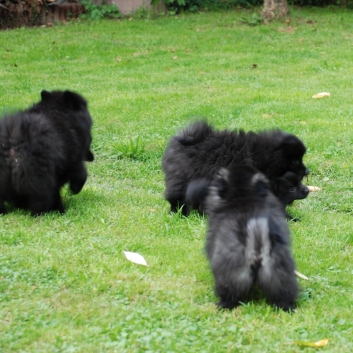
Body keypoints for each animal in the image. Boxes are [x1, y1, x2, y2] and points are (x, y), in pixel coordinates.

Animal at [162, 120, 308, 214]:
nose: (307, 171)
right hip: (181, 178)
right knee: (176, 197)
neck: (261, 157)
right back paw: (178, 213)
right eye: (295, 161)